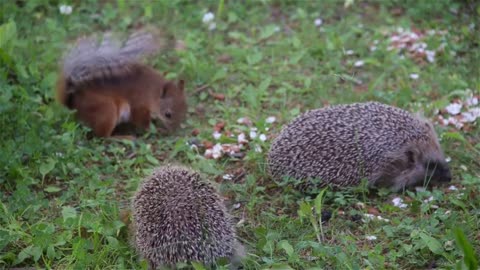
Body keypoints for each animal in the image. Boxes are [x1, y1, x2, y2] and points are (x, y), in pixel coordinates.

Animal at [54, 30, 186, 138]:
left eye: (186, 108)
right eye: (168, 114)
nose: (174, 132)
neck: (153, 90)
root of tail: (73, 104)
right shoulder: (138, 104)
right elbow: (142, 121)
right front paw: (156, 130)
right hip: (107, 110)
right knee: (103, 136)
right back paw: (123, 137)